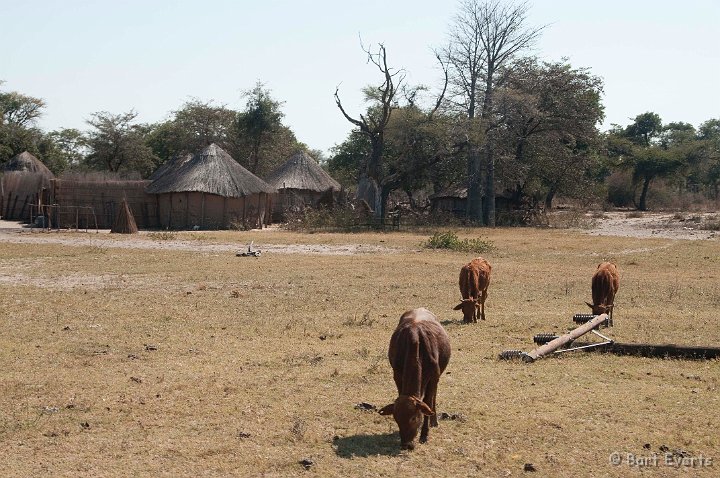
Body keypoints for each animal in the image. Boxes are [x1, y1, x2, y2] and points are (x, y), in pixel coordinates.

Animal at [376, 308, 450, 450]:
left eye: (414, 418)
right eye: (396, 418)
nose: (407, 445)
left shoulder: (433, 377)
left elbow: (427, 402)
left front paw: (424, 435)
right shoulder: (397, 375)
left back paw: (434, 421)